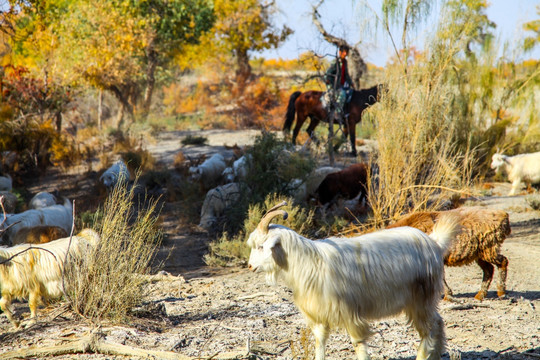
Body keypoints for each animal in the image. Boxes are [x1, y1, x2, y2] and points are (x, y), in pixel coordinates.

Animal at [247, 202, 458, 360]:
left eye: (261, 246)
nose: (249, 266)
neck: (309, 262)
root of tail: (434, 242)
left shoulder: (349, 312)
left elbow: (358, 344)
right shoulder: (320, 314)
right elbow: (320, 343)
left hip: (422, 297)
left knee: (430, 329)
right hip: (419, 301)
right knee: (437, 325)